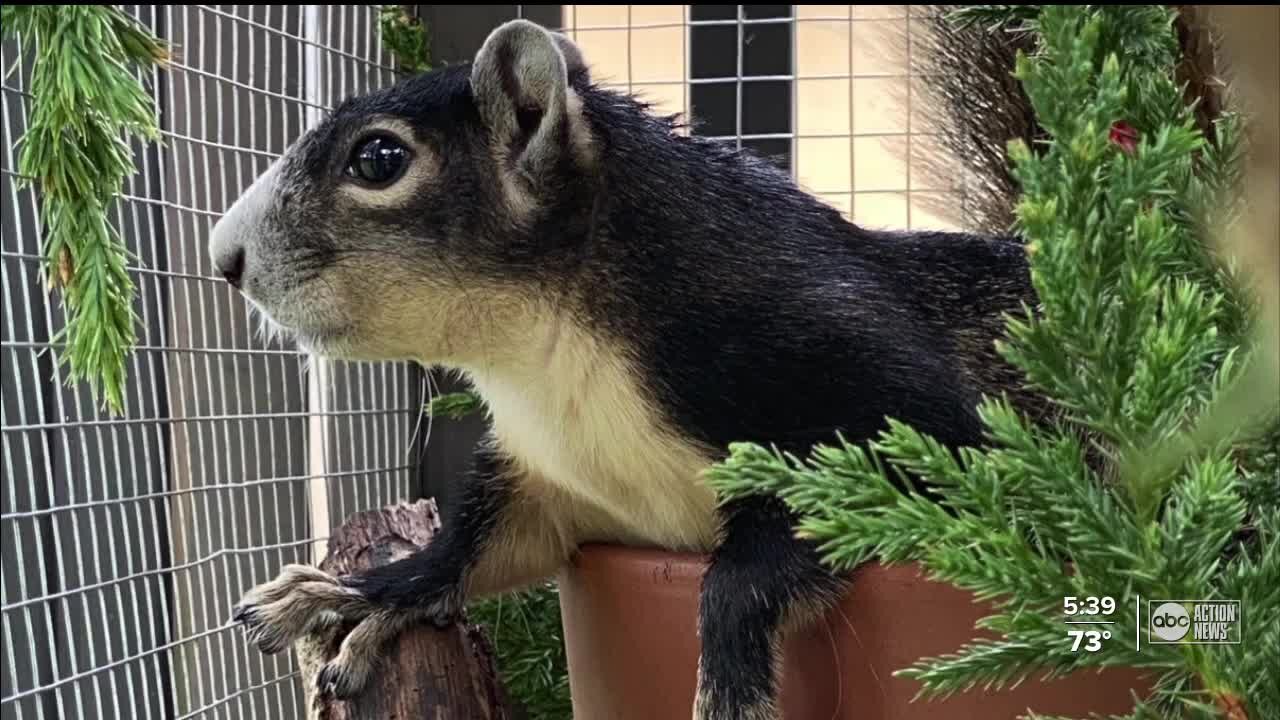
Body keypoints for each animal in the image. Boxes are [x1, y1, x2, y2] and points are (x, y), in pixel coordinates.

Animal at [215, 19, 1044, 717]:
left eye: (379, 159)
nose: (224, 258)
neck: (541, 364)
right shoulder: (551, 482)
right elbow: (469, 548)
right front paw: (360, 592)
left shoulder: (867, 394)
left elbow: (754, 569)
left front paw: (729, 693)